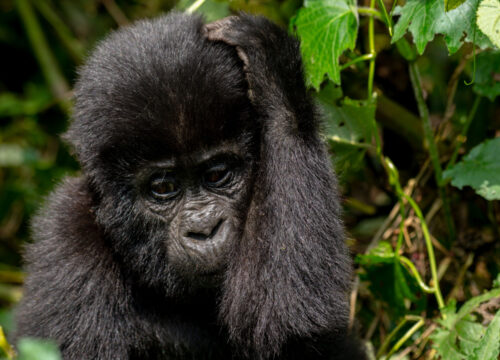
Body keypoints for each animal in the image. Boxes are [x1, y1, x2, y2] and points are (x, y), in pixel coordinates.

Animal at [14, 11, 368, 360]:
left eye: (216, 174)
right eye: (163, 187)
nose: (204, 229)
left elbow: (288, 324)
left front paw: (273, 69)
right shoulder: (66, 234)